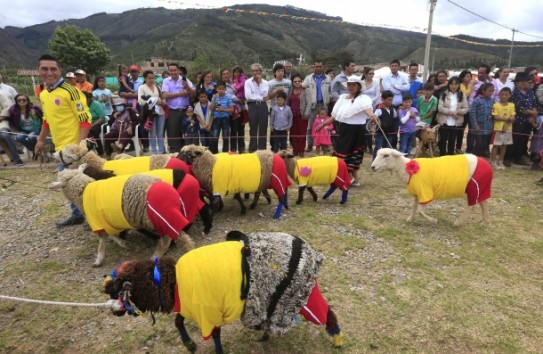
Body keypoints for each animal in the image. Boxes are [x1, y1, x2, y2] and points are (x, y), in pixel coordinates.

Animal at [47, 165, 194, 266]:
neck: (84, 192)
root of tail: (173, 192)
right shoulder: (112, 221)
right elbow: (112, 235)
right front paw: (124, 243)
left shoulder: (98, 222)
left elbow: (103, 240)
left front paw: (99, 258)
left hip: (160, 217)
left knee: (170, 240)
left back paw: (160, 256)